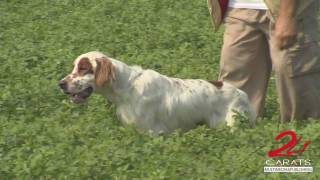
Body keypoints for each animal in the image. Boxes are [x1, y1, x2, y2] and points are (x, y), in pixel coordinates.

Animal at [59, 51, 255, 134]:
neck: (127, 87)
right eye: (74, 67)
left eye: (83, 68)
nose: (61, 84)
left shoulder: (152, 132)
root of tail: (243, 95)